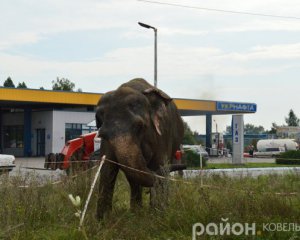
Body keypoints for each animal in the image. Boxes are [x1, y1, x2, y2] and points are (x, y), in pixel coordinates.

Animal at [96, 78, 185, 218]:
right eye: (102, 134)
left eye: (139, 126)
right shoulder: (106, 142)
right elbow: (107, 167)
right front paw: (103, 221)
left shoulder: (163, 132)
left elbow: (160, 165)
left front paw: (158, 216)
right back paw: (136, 212)